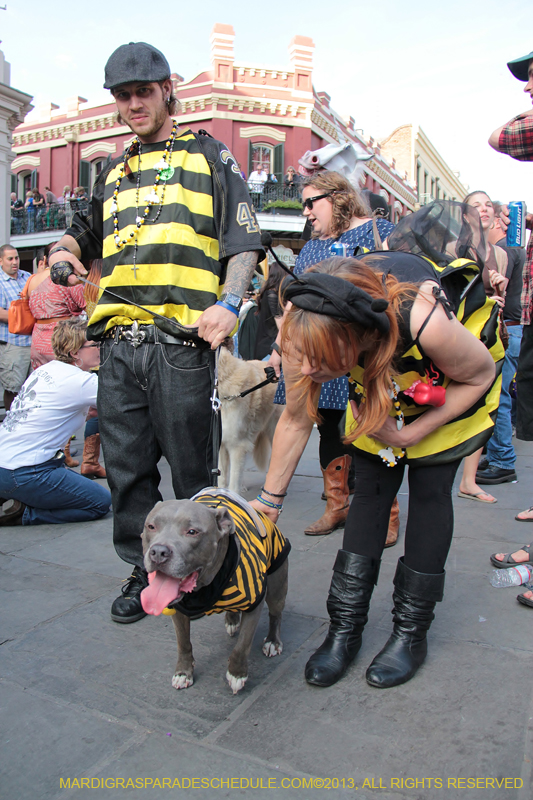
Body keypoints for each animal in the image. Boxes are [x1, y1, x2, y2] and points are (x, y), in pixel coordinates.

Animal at [139, 490, 288, 692]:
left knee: (275, 614)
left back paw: (272, 641)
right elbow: (183, 643)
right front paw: (183, 672)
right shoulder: (177, 611)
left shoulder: (254, 605)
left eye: (192, 532)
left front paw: (236, 674)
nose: (159, 552)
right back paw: (232, 620)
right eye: (151, 526)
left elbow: (242, 645)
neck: (204, 586)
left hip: (276, 588)